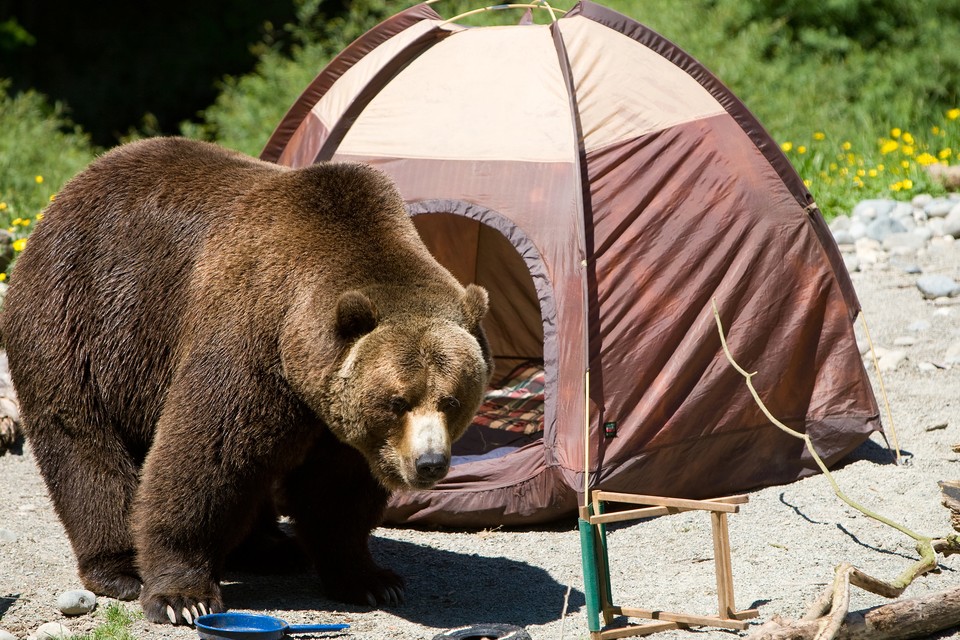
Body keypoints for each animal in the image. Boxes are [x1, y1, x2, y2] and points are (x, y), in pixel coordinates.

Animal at [1, 139, 496, 624]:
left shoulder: (337, 418)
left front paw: (370, 579)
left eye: (451, 401)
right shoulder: (251, 340)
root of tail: (67, 193)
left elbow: (338, 492)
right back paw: (121, 567)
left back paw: (272, 549)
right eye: (398, 401)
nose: (429, 463)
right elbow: (207, 456)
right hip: (82, 319)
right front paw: (183, 597)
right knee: (84, 444)